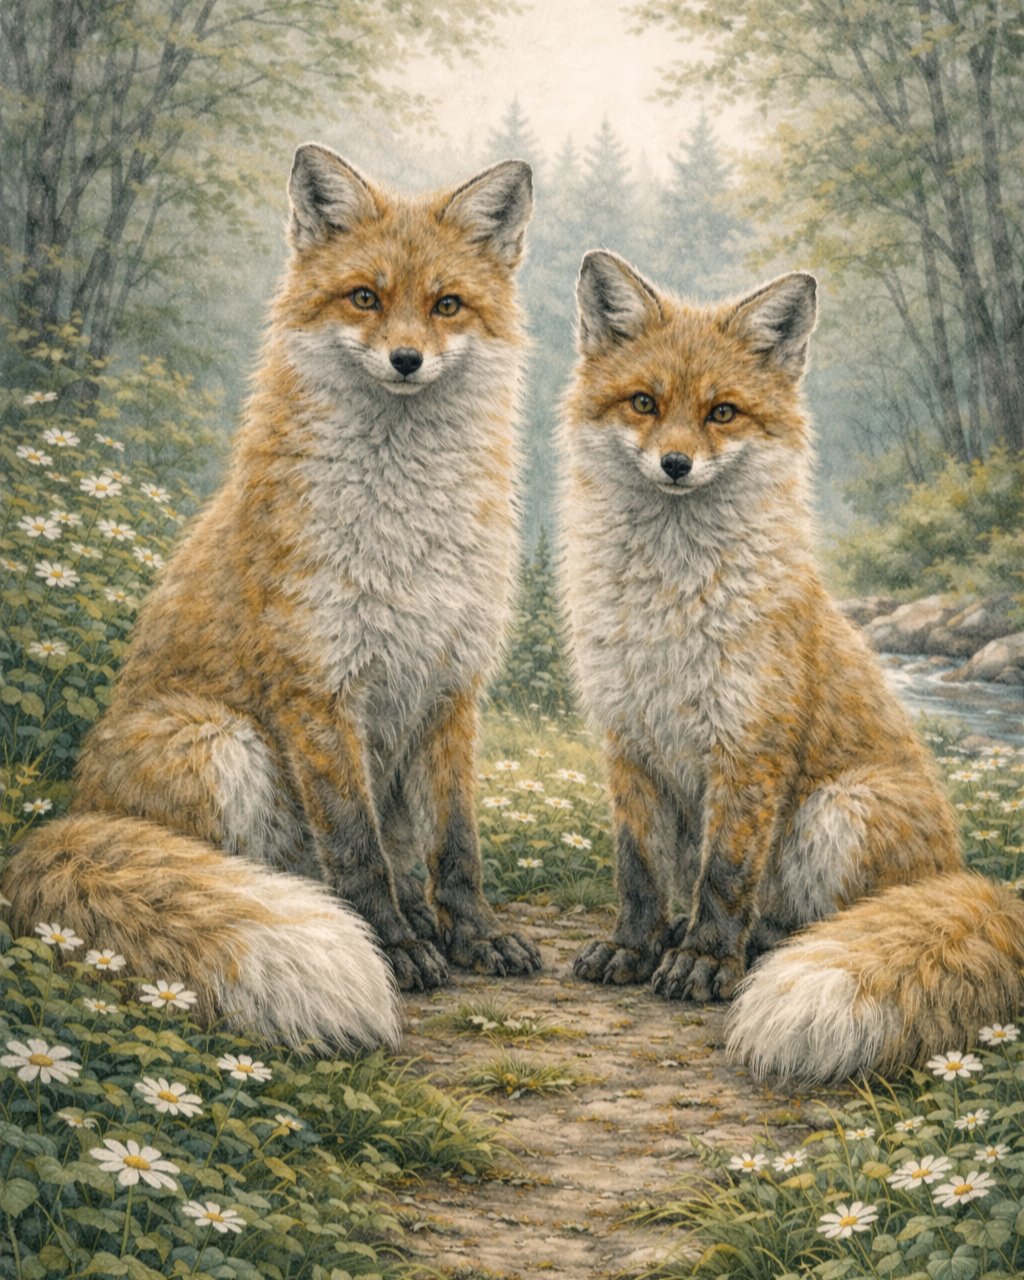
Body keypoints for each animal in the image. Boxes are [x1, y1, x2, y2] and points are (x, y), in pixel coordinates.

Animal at [1, 144, 541, 1051]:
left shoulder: (450, 686)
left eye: (447, 305)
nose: (406, 360)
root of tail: (70, 813)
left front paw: (473, 936)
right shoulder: (315, 687)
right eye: (365, 297)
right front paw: (396, 950)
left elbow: (457, 848)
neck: (404, 530)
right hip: (222, 743)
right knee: (255, 870)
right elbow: (356, 850)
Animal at [560, 250, 1024, 1084]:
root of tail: (964, 875)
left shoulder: (749, 744)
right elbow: (639, 872)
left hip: (841, 809)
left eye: (722, 413)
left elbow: (723, 880)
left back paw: (759, 948)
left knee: (816, 919)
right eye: (644, 403)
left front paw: (705, 963)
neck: (668, 606)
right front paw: (632, 947)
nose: (675, 464)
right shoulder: (629, 741)